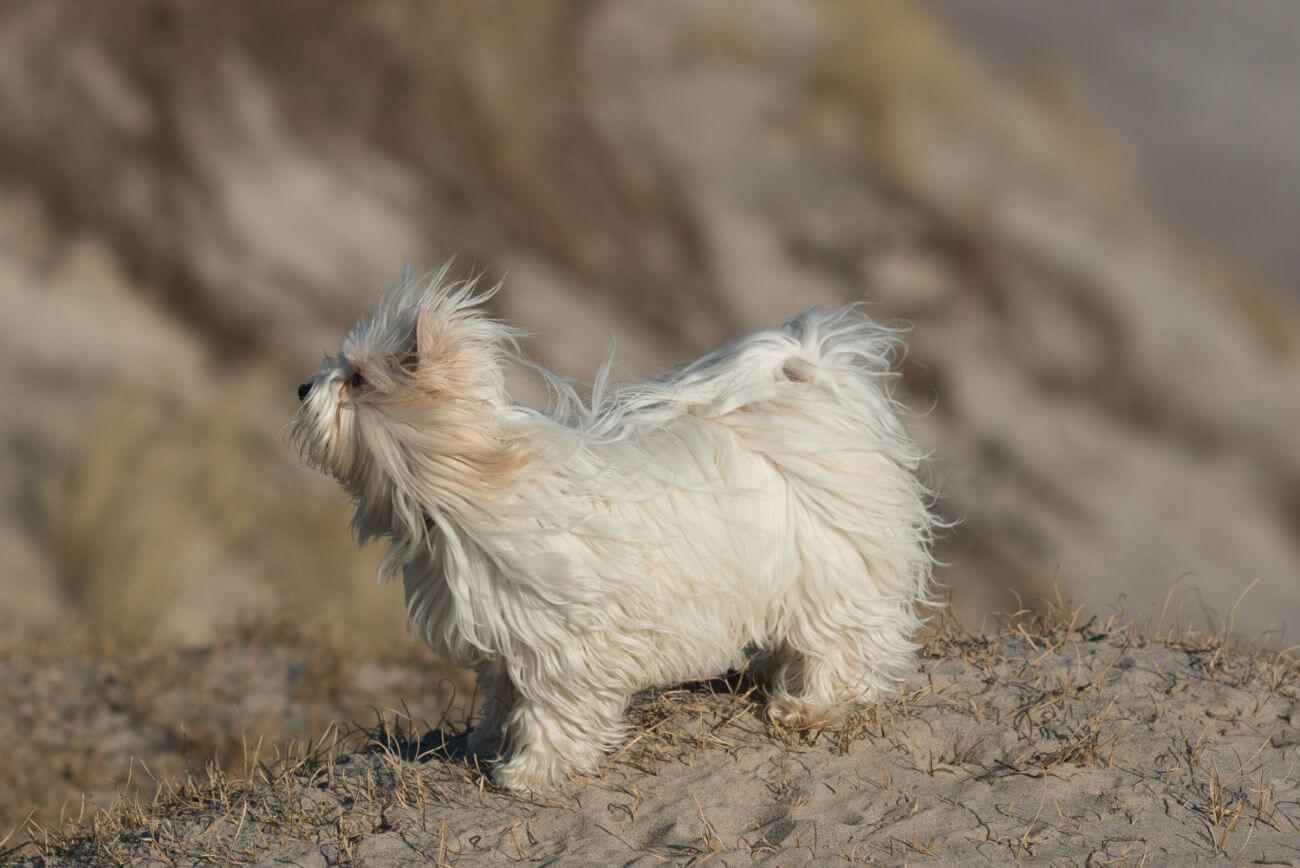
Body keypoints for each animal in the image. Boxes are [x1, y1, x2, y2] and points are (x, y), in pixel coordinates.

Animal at [295, 271, 935, 795]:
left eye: (356, 379)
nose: (302, 388)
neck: (477, 481)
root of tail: (815, 392)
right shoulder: (504, 631)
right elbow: (502, 691)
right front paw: (487, 739)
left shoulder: (562, 640)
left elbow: (552, 708)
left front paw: (531, 772)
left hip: (834, 580)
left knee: (843, 647)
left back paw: (811, 707)